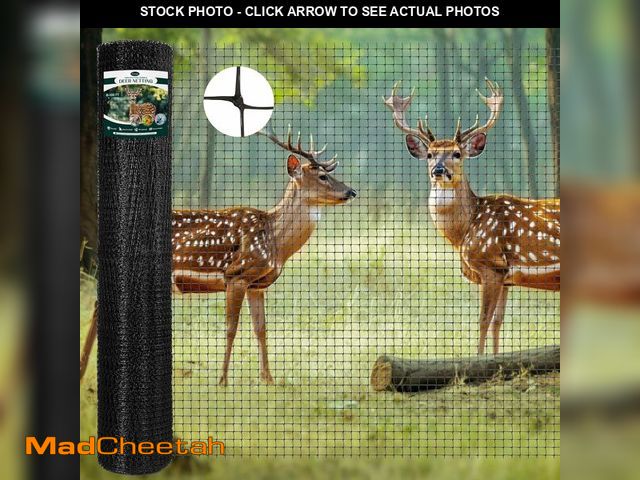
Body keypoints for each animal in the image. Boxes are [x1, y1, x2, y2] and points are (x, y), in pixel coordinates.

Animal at [171, 128, 357, 385]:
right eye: (322, 176)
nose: (351, 191)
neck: (275, 245)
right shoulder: (236, 275)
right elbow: (231, 328)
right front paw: (222, 381)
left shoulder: (256, 285)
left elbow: (261, 328)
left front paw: (268, 379)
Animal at [384, 78, 560, 355]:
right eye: (430, 154)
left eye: (457, 153)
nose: (438, 170)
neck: (464, 231)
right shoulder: (506, 276)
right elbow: (498, 322)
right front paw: (495, 359)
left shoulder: (490, 264)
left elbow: (483, 321)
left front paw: (477, 359)